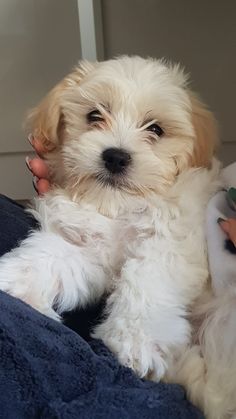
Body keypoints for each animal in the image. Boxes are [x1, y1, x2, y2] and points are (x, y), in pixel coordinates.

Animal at [0, 56, 234, 419]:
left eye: (155, 129)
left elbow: (146, 283)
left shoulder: (168, 245)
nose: (115, 156)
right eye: (94, 115)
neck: (119, 206)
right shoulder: (85, 246)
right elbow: (50, 256)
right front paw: (15, 279)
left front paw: (137, 342)